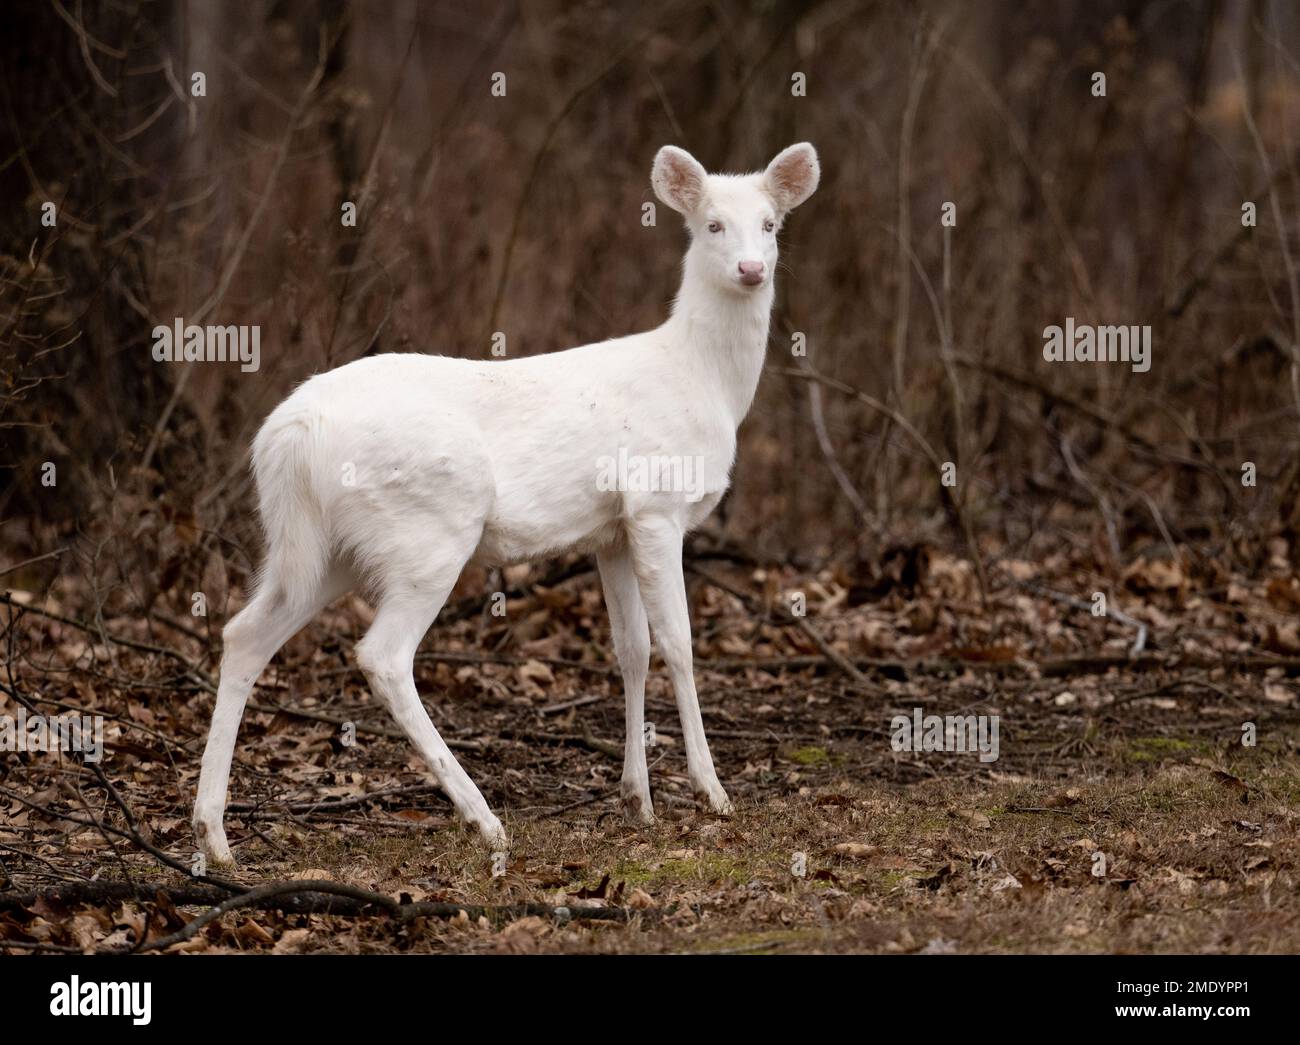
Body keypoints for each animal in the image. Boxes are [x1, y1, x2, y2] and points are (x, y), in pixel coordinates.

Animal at [189, 144, 821, 863]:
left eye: (770, 223)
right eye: (712, 224)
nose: (751, 269)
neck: (703, 381)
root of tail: (290, 435)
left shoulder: (613, 530)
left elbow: (630, 648)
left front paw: (637, 799)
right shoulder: (657, 504)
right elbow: (679, 644)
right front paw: (710, 791)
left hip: (323, 548)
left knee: (244, 634)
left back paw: (214, 836)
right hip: (430, 528)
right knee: (382, 655)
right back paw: (481, 816)